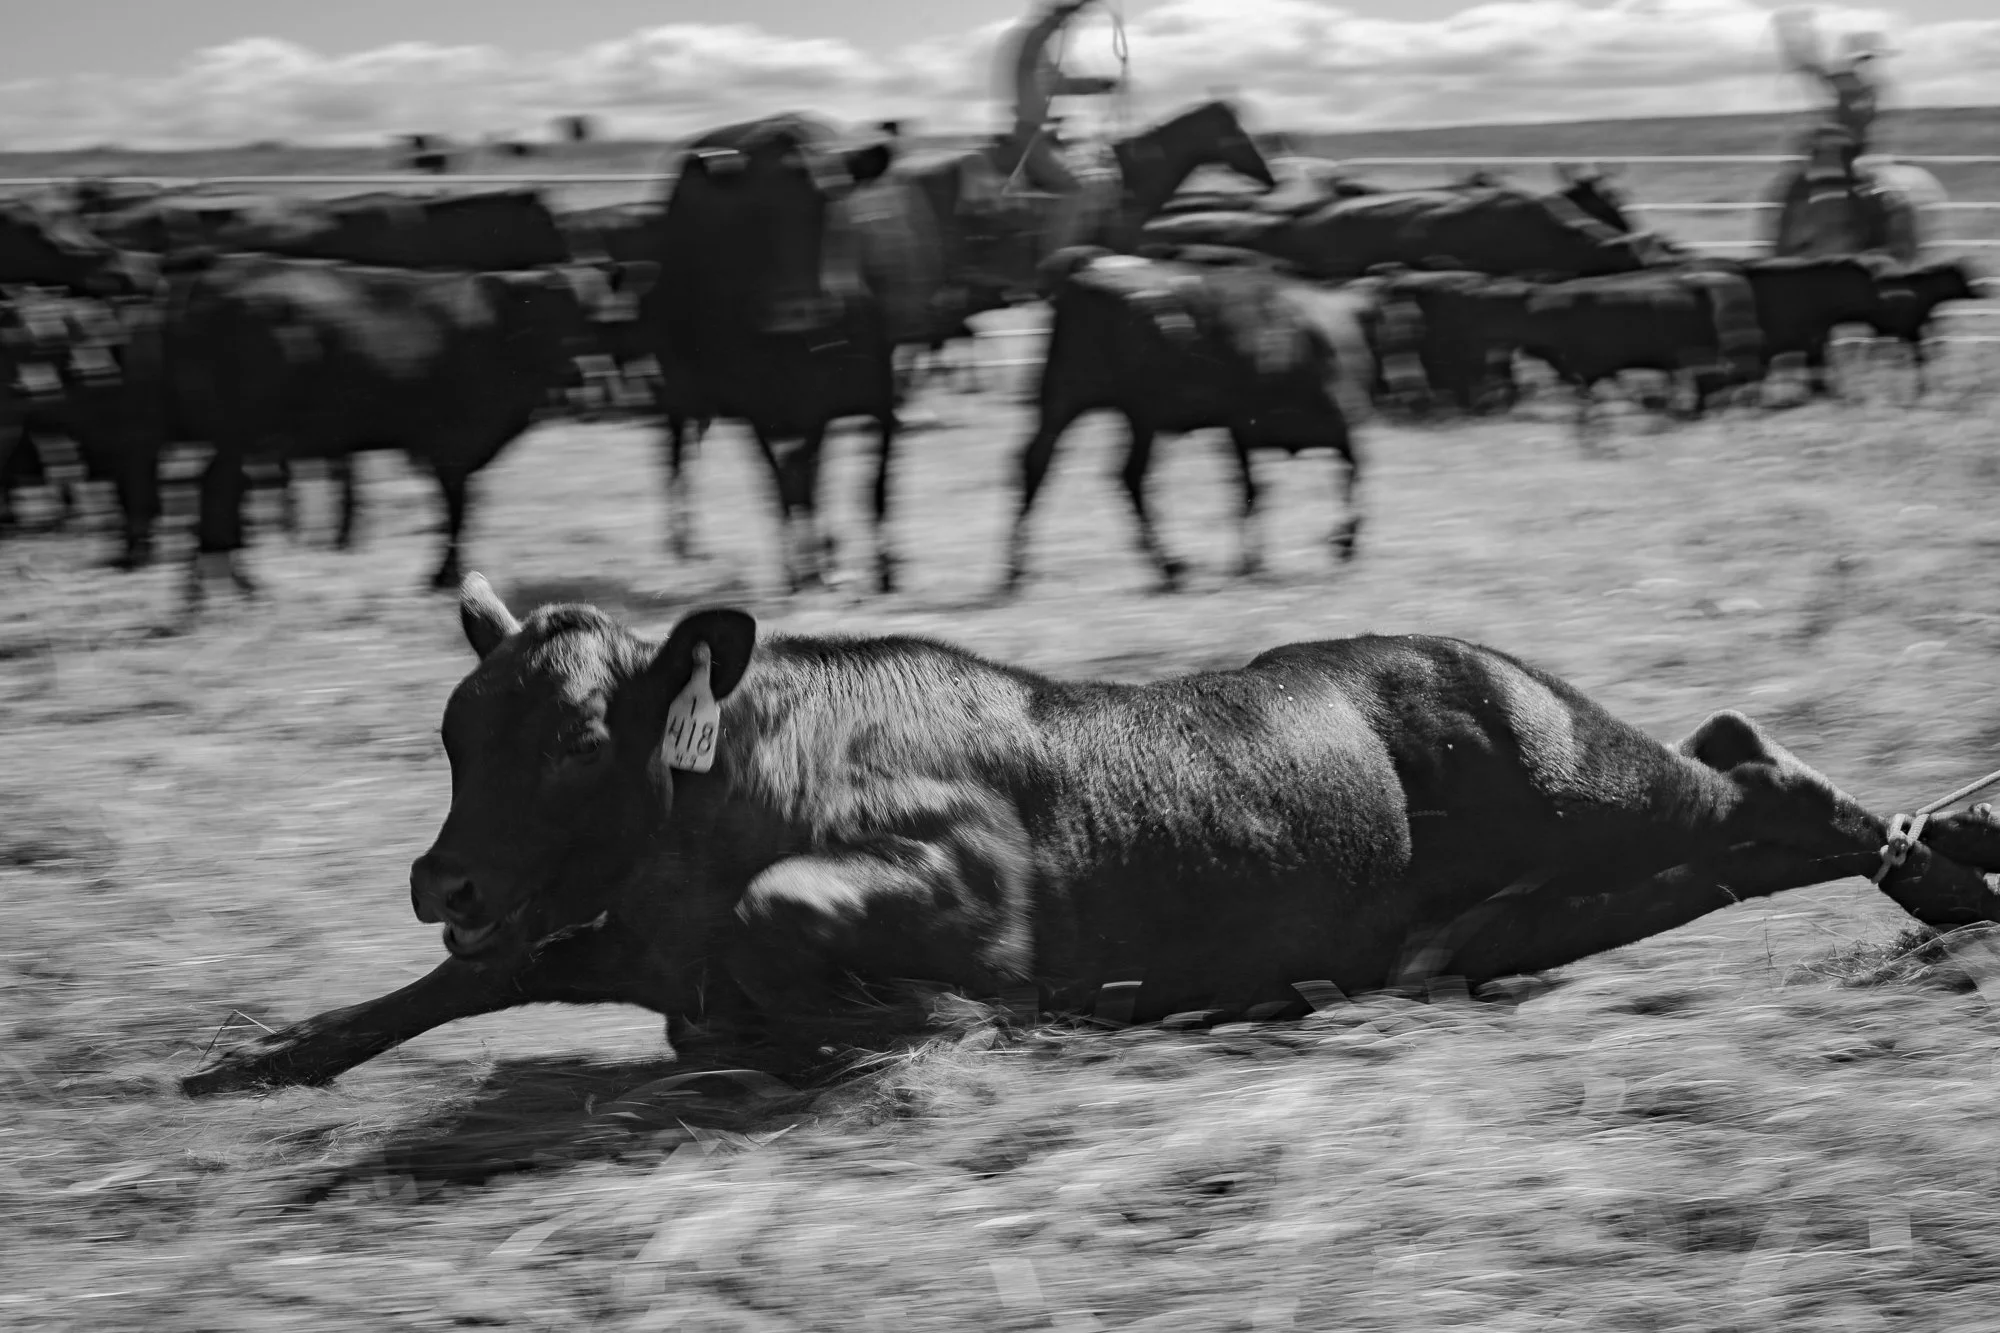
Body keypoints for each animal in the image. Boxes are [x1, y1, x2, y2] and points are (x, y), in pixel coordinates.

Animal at [172, 254, 642, 604]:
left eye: (601, 316)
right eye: (550, 314)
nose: (582, 373)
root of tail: (222, 272)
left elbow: (457, 509)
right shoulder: (449, 441)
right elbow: (456, 510)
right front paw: (444, 576)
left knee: (221, 491)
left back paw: (227, 587)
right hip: (242, 430)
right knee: (218, 490)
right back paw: (221, 588)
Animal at [181, 575, 2000, 1096]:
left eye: (569, 740)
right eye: (453, 731)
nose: (441, 874)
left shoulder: (967, 896)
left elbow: (807, 934)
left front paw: (934, 1027)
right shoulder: (584, 932)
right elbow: (442, 989)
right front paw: (265, 1049)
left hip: (1596, 787)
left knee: (1763, 779)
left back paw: (1945, 868)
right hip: (1580, 876)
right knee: (1737, 789)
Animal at [1006, 246, 1404, 592]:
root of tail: (1087, 272)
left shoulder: (1244, 428)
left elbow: (1256, 488)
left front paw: (1255, 560)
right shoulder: (1292, 421)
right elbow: (1277, 485)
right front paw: (1332, 544)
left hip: (1089, 406)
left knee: (1059, 465)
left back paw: (1017, 574)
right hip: (1106, 405)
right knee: (1097, 470)